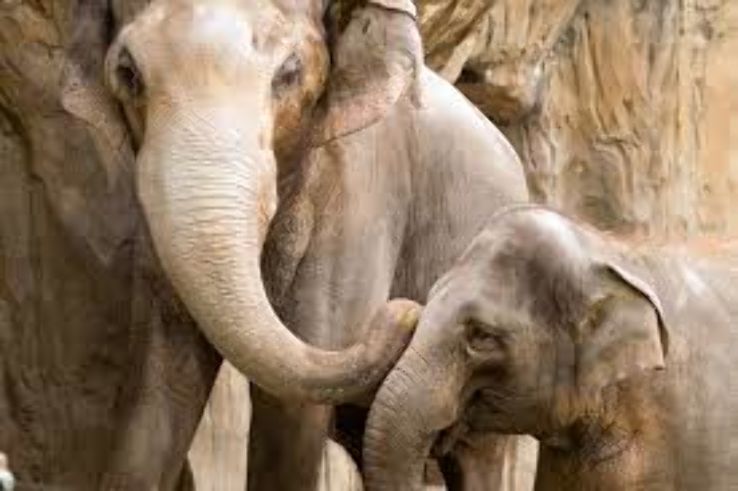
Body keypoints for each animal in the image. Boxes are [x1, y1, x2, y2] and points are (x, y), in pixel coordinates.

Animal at [102, 0, 530, 488]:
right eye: (128, 72)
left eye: (289, 73)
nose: (409, 312)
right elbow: (161, 381)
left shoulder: (360, 191)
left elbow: (291, 410)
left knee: (477, 454)